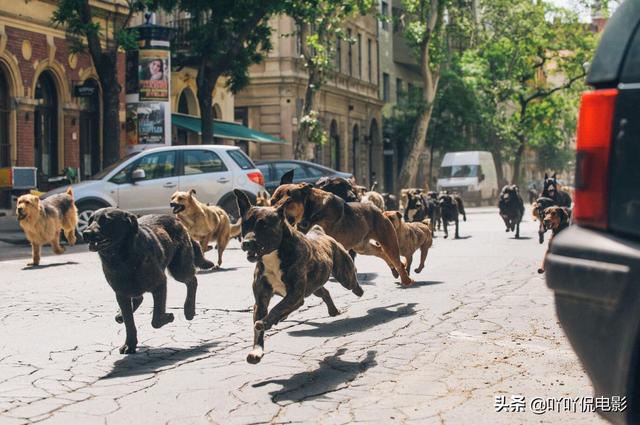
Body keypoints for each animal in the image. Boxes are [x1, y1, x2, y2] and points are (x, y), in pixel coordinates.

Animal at [80, 207, 212, 352]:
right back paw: (120, 315)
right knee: (139, 298)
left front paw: (168, 317)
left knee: (192, 281)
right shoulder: (121, 294)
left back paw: (189, 310)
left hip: (179, 270)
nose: (85, 233)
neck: (122, 259)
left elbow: (156, 319)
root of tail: (176, 219)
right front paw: (130, 344)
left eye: (106, 220)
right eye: (90, 221)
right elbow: (129, 323)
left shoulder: (160, 284)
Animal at [235, 190, 364, 362]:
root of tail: (319, 232)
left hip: (343, 275)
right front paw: (257, 350)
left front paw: (267, 322)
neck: (274, 254)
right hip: (314, 286)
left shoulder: (295, 294)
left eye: (264, 225)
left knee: (352, 280)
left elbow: (276, 308)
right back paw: (331, 310)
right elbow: (261, 324)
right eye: (245, 225)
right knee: (324, 292)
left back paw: (359, 290)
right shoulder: (262, 300)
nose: (246, 242)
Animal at [270, 177, 416, 286]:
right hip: (362, 247)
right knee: (381, 252)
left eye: (288, 202)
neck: (309, 209)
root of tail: (378, 210)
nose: (274, 211)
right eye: (272, 201)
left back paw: (406, 279)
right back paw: (395, 271)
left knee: (395, 260)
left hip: (388, 241)